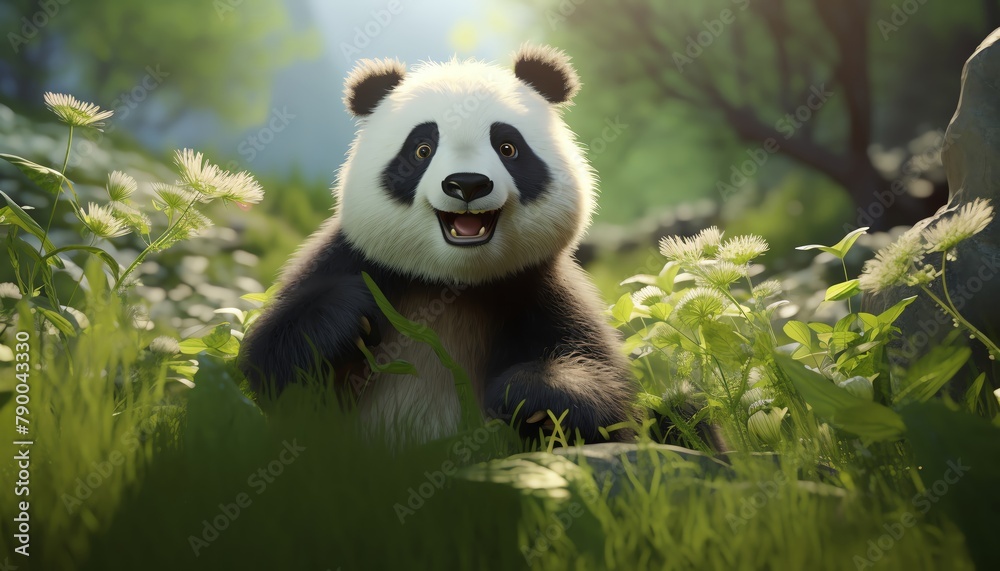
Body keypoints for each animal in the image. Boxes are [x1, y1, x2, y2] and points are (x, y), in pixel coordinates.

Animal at [238, 45, 637, 445]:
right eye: (422, 149)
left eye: (507, 147)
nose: (468, 183)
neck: (451, 283)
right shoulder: (352, 260)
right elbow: (268, 368)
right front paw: (346, 316)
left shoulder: (537, 286)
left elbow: (609, 397)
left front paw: (533, 396)